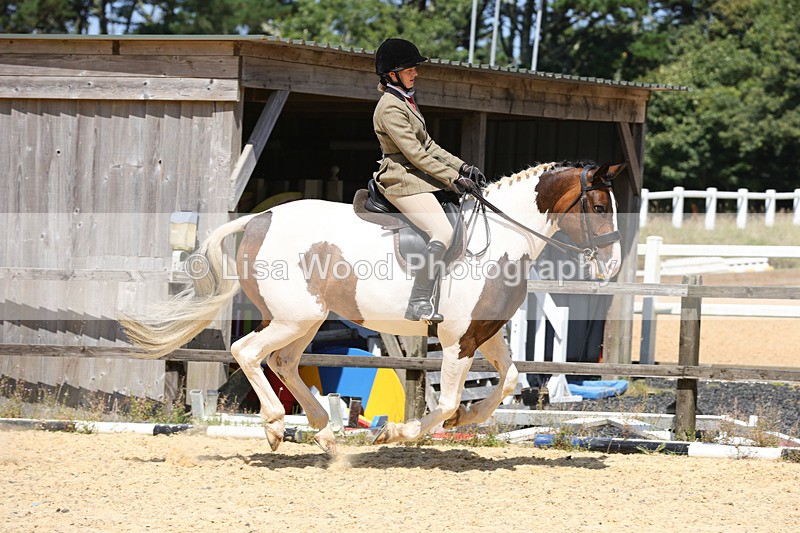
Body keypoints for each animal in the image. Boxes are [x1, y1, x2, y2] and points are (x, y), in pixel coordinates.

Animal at [119, 161, 626, 454]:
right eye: (600, 206)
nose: (613, 265)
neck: (502, 238)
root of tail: (260, 217)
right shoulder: (456, 338)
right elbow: (446, 401)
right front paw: (395, 432)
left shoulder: (484, 333)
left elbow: (509, 381)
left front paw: (468, 419)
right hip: (294, 317)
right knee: (248, 352)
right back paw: (277, 425)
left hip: (306, 319)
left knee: (283, 361)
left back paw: (324, 432)